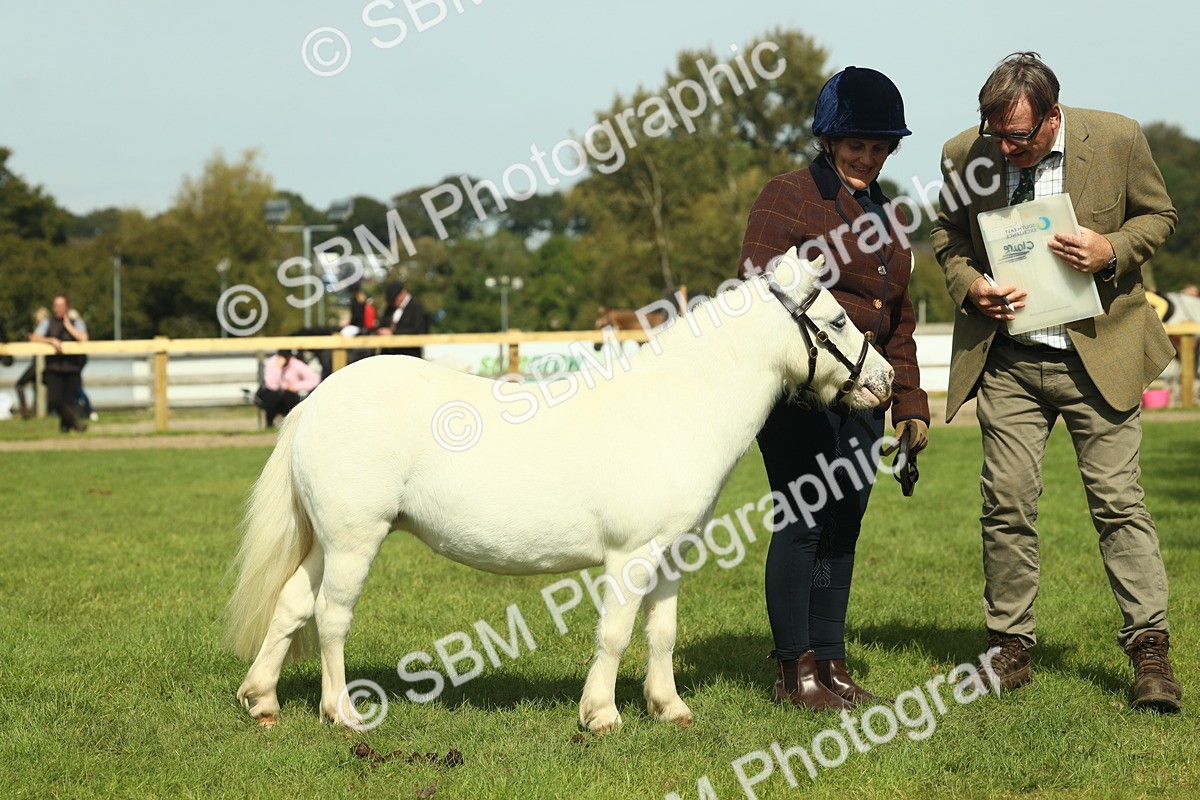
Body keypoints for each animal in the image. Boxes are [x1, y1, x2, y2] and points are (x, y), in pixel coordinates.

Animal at [223, 248, 895, 734]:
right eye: (837, 320)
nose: (886, 381)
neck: (674, 407)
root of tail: (315, 401)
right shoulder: (630, 555)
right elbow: (615, 633)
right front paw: (602, 715)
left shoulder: (673, 554)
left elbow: (661, 631)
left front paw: (669, 708)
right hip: (354, 539)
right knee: (332, 616)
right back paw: (342, 712)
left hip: (326, 540)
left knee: (292, 603)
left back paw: (262, 700)